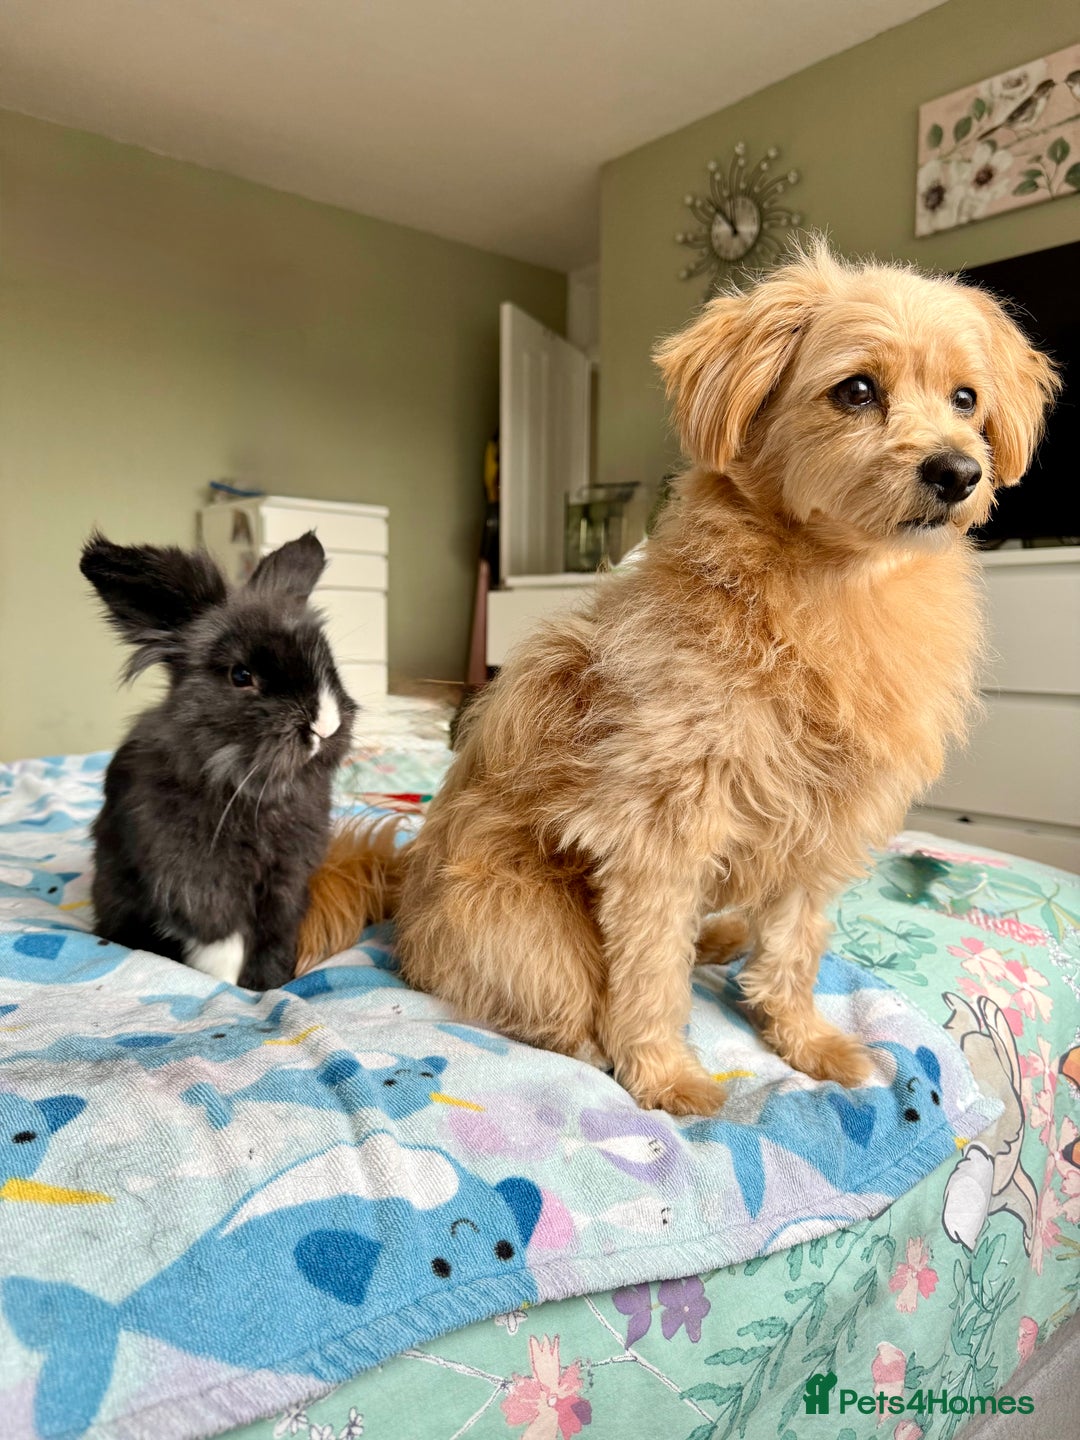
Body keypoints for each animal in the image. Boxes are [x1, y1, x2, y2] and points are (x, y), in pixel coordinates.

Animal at [80, 530, 357, 989]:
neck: (252, 791)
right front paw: (225, 985)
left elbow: (275, 933)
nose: (325, 725)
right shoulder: (197, 877)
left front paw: (270, 983)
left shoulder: (286, 879)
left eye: (328, 663)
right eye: (241, 676)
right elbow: (221, 935)